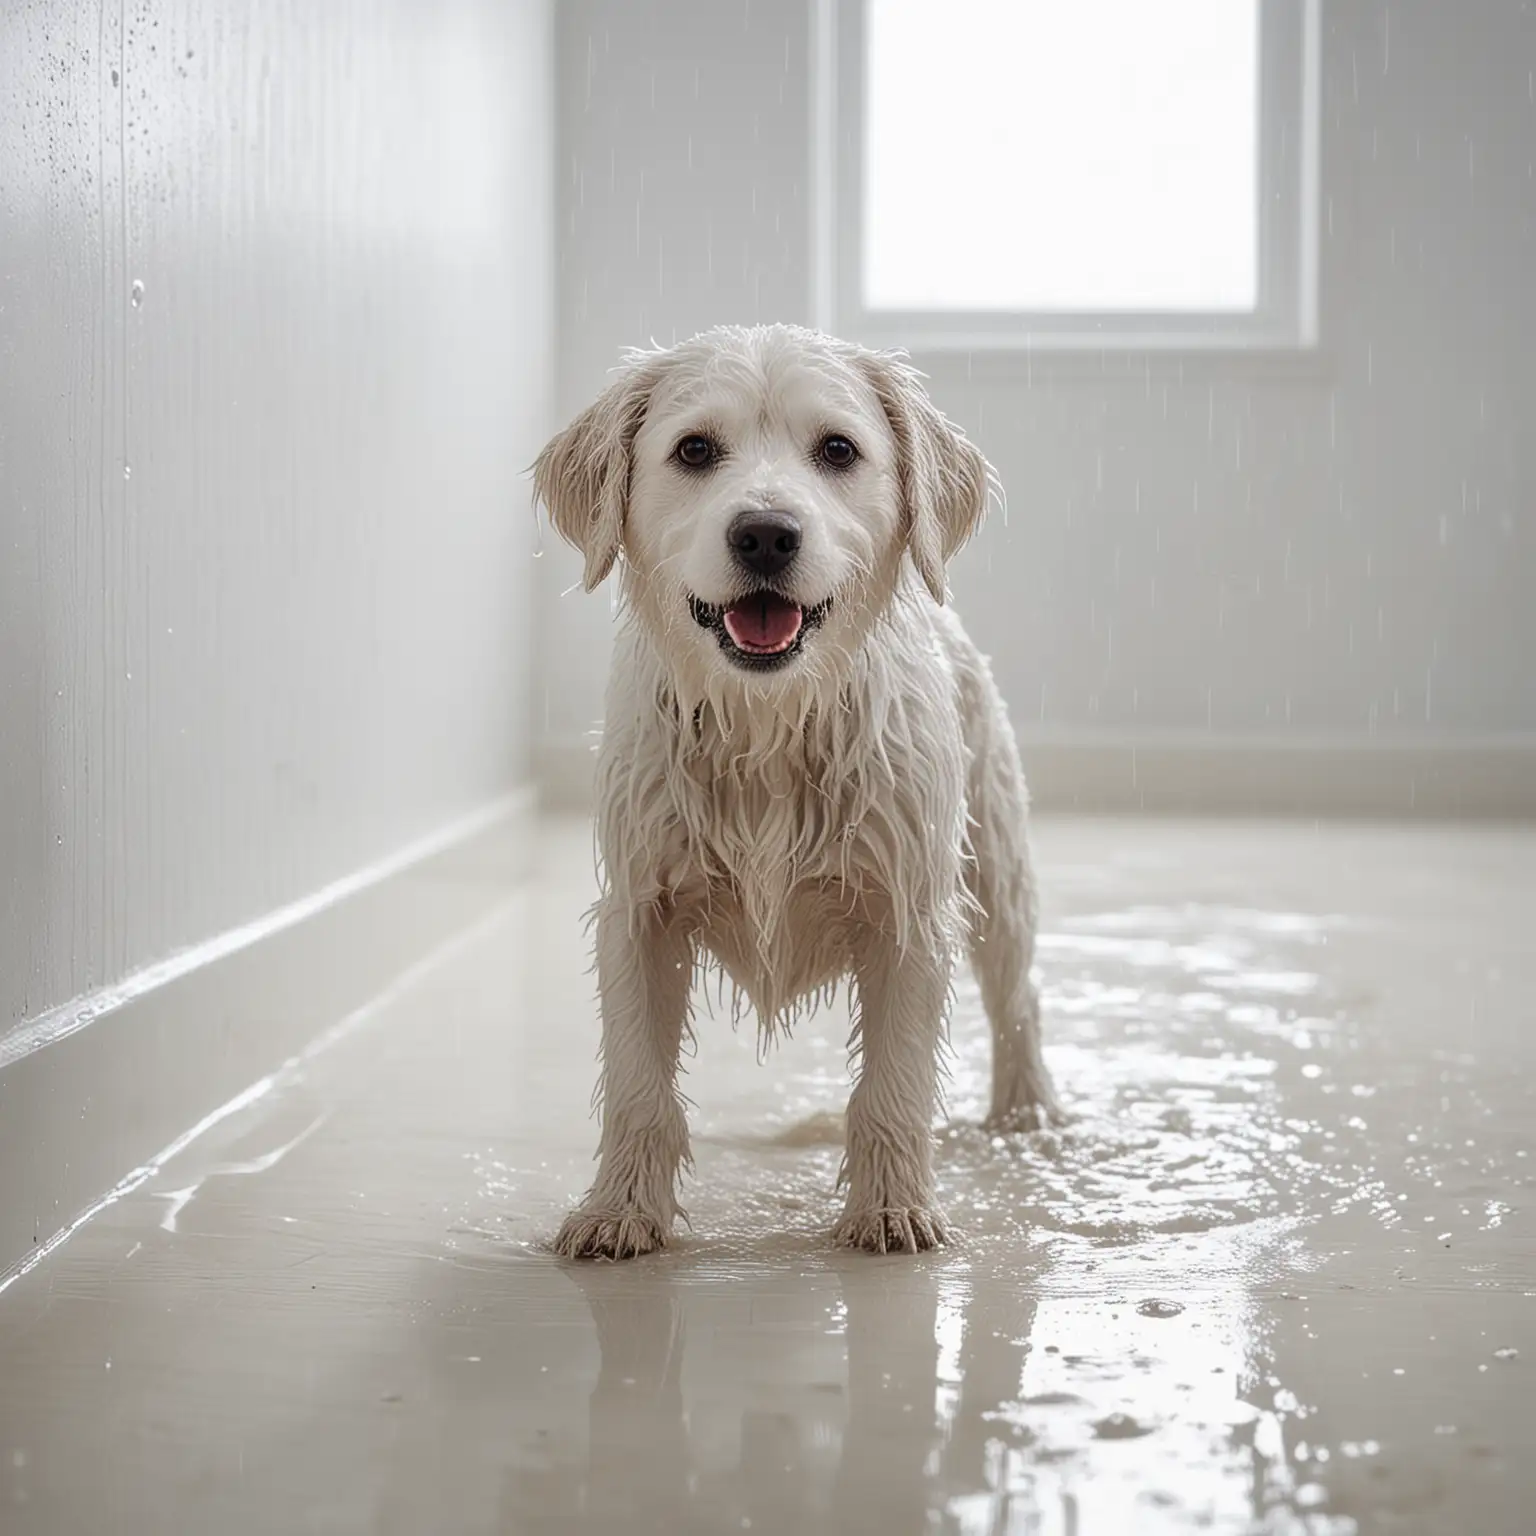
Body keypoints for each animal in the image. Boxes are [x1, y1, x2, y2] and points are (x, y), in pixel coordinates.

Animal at [537, 324, 1056, 1259]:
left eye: (838, 450)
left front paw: (892, 1211)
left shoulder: (910, 914)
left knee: (1017, 994)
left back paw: (1028, 1114)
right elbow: (638, 1086)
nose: (766, 535)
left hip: (996, 866)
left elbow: (892, 1086)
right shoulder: (639, 911)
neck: (768, 726)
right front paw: (619, 1211)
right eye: (694, 450)